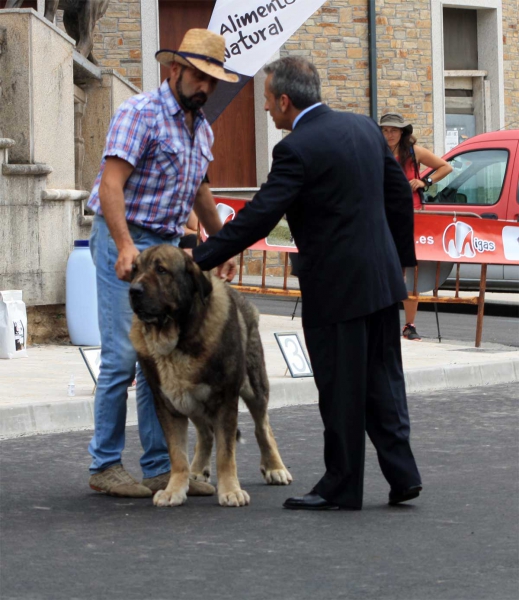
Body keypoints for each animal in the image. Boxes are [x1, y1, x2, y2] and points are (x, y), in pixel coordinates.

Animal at [129, 244, 292, 506]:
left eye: (161, 270)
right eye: (134, 270)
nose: (133, 290)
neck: (178, 340)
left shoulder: (225, 400)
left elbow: (226, 453)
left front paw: (231, 491)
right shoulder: (168, 405)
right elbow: (177, 454)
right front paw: (175, 489)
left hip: (255, 387)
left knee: (262, 428)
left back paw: (275, 467)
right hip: (191, 401)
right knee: (205, 433)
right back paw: (197, 470)